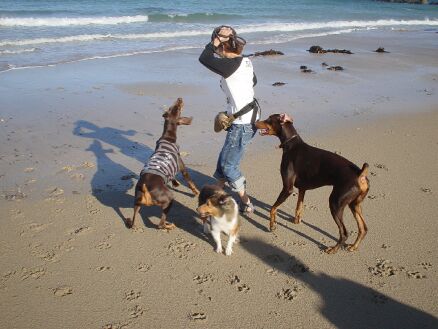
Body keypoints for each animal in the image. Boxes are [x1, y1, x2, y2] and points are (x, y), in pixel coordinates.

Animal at [126, 97, 199, 229]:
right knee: (160, 224)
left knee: (134, 221)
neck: (168, 137)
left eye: (171, 107)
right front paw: (197, 192)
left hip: (137, 203)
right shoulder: (182, 167)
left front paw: (175, 183)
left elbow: (173, 177)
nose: (180, 98)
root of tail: (146, 192)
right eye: (178, 108)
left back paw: (131, 223)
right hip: (169, 200)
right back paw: (169, 225)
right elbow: (190, 182)